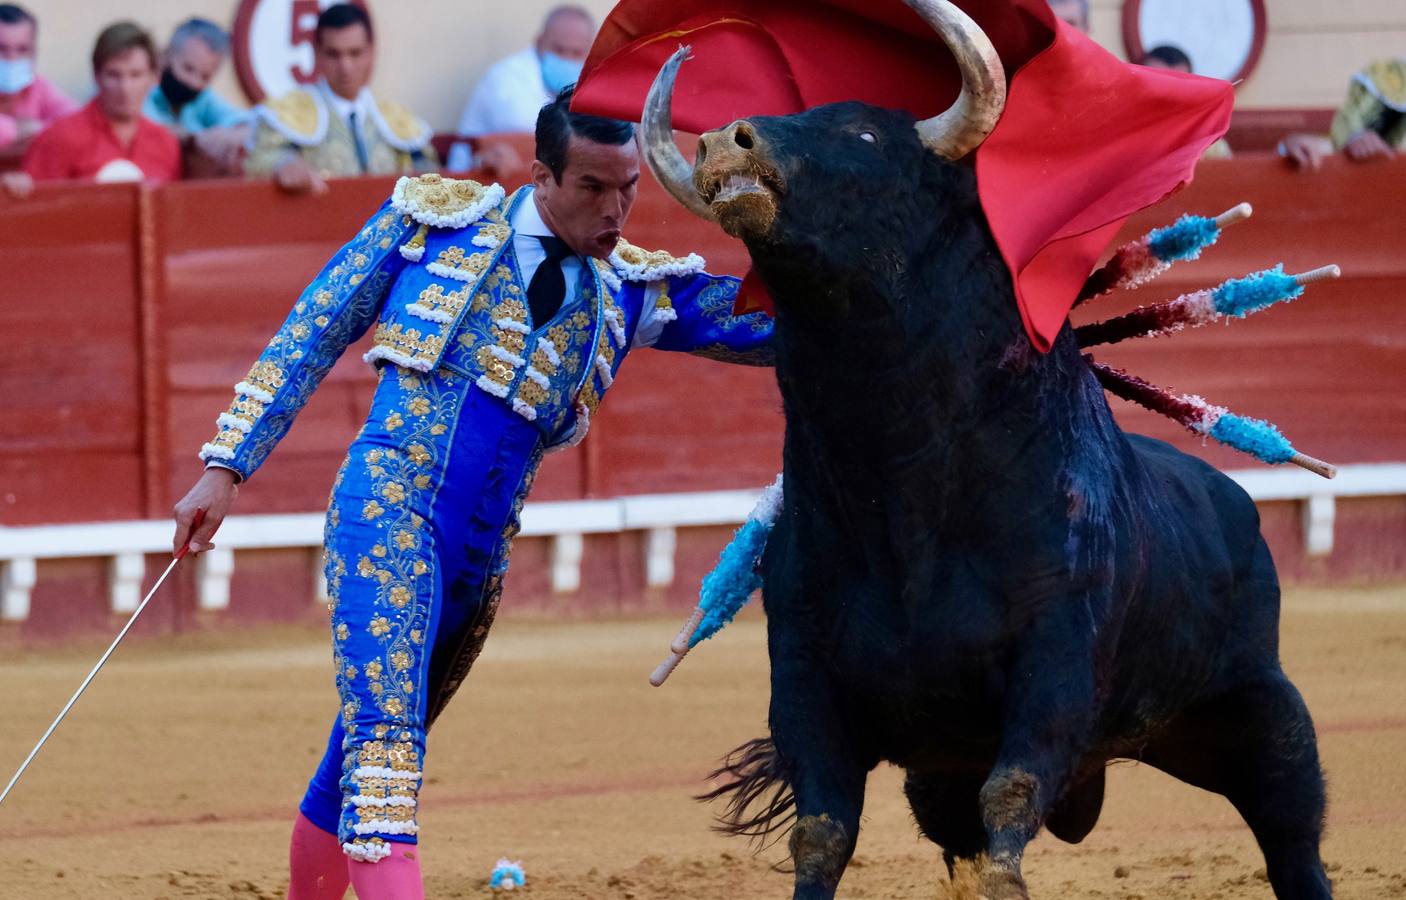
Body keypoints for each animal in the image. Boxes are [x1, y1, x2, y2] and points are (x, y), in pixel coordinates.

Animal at [638, 1, 1327, 900]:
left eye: (865, 133)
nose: (725, 139)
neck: (897, 481)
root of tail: (1234, 502)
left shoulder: (1055, 653)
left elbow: (1016, 787)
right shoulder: (803, 671)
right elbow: (823, 830)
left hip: (1260, 713)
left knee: (1294, 834)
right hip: (942, 773)